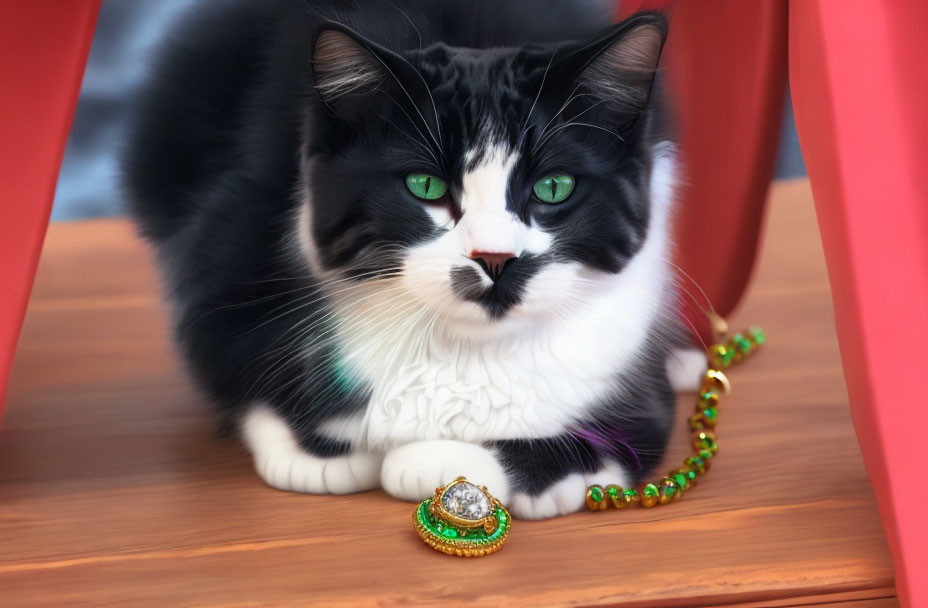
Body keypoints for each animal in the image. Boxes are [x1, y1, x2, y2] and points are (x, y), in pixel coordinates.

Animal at [123, 0, 704, 520]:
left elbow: (614, 433)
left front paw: (444, 462)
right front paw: (323, 451)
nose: (495, 258)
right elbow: (251, 377)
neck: (465, 350)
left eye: (554, 187)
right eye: (425, 186)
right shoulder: (232, 258)